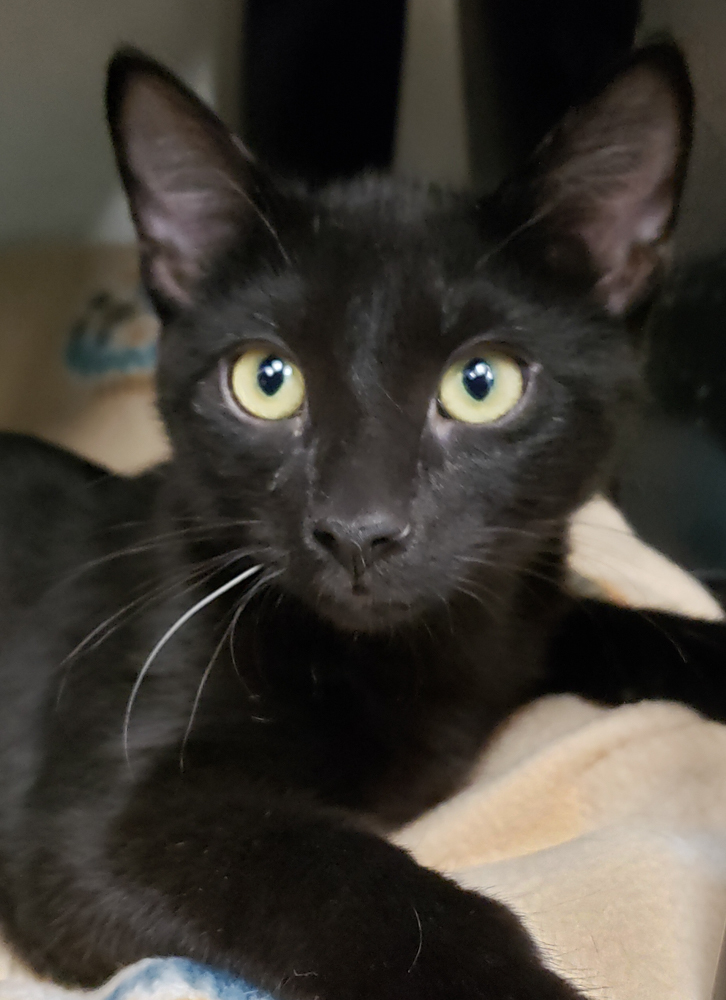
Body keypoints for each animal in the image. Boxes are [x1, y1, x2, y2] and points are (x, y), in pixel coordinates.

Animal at [0, 43, 724, 1000]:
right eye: (266, 380)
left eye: (482, 383)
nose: (357, 529)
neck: (418, 661)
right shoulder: (95, 822)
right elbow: (343, 881)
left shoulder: (519, 610)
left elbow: (630, 625)